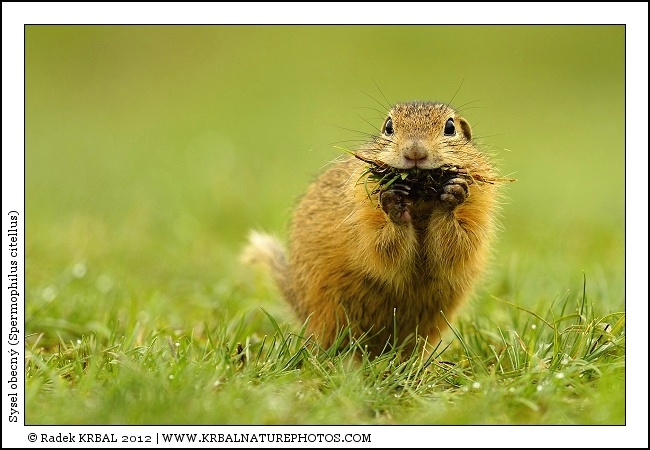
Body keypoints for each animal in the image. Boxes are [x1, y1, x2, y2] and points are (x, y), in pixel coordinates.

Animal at [243, 101, 506, 356]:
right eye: (388, 127)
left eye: (450, 127)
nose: (415, 152)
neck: (421, 201)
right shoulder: (364, 215)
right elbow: (381, 247)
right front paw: (393, 199)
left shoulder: (477, 213)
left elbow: (458, 245)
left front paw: (454, 191)